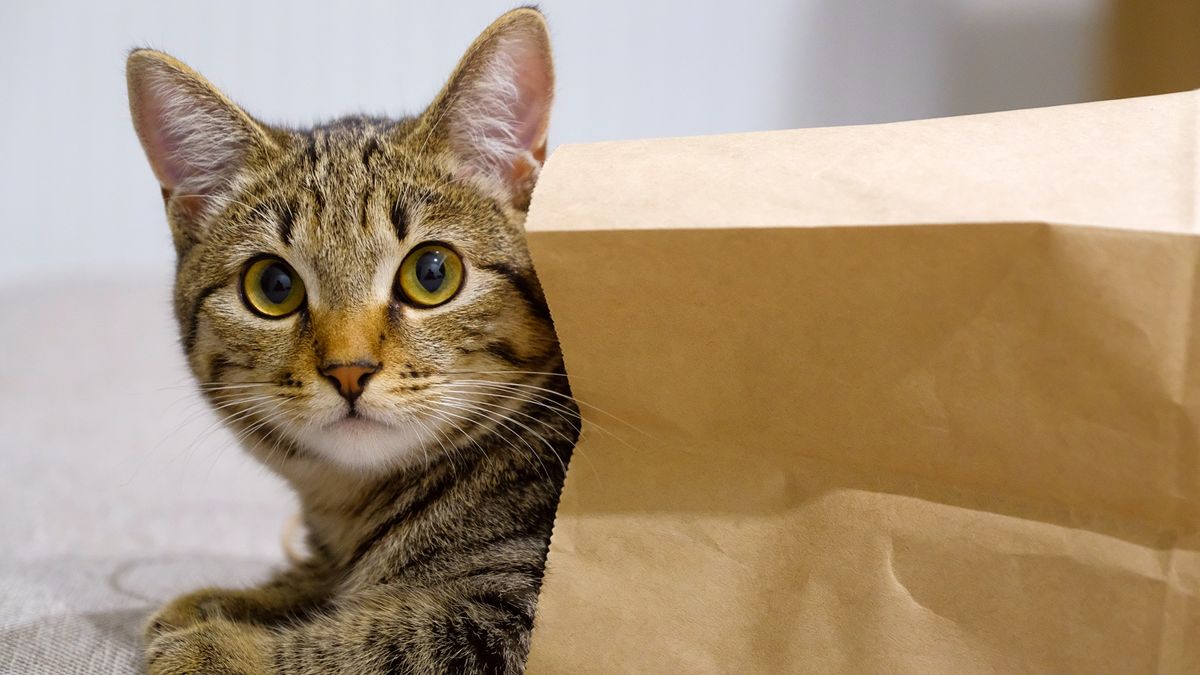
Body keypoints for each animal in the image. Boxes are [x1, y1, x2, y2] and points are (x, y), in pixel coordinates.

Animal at [127, 9, 580, 672]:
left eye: (432, 273)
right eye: (274, 285)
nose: (348, 370)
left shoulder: (525, 612)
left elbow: (371, 640)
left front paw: (217, 646)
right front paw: (235, 599)